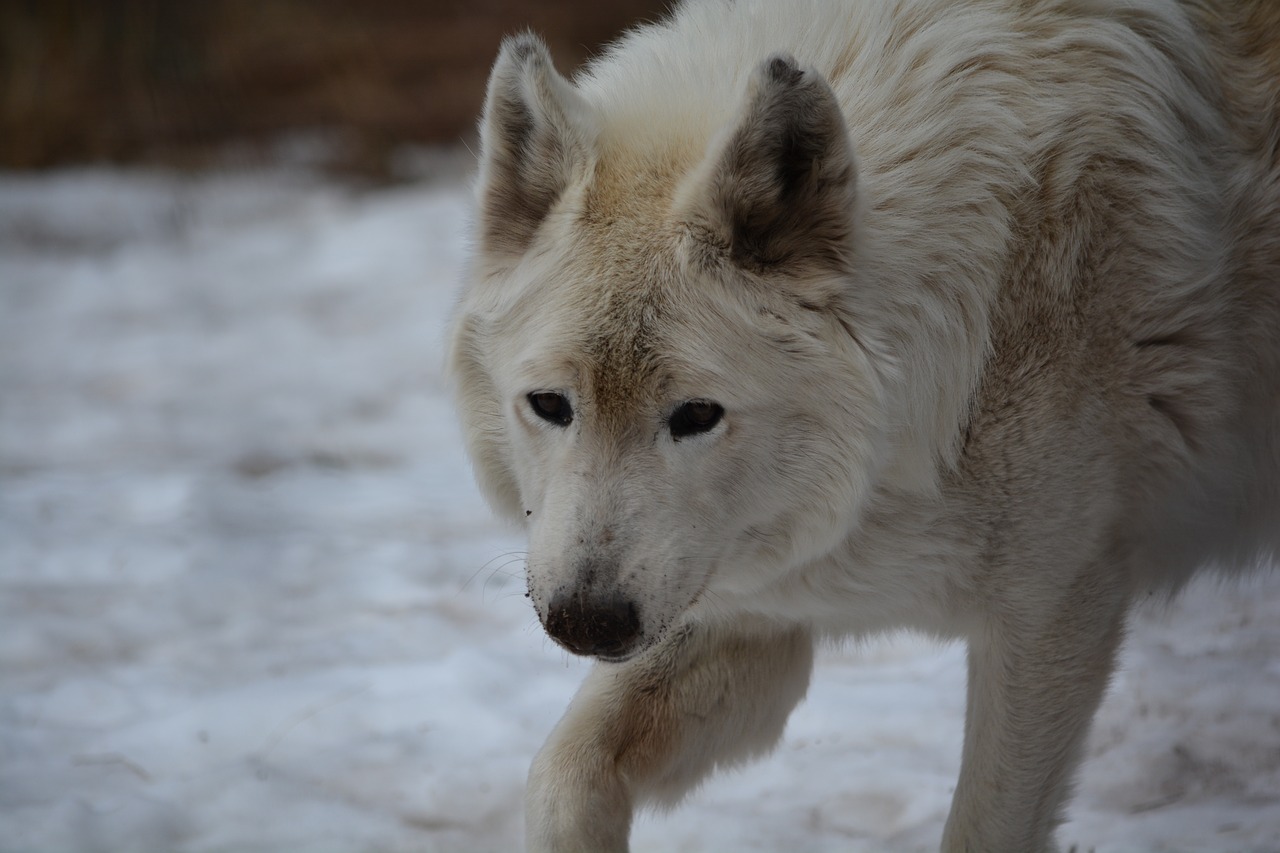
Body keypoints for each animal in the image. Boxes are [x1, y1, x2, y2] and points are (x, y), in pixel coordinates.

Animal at [448, 1, 1280, 845]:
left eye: (697, 414)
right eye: (550, 405)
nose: (587, 621)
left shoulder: (1053, 612)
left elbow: (983, 826)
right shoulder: (748, 605)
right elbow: (560, 775)